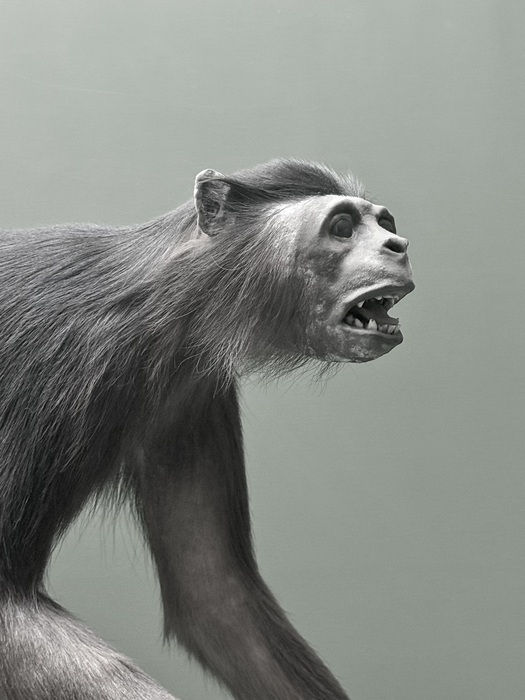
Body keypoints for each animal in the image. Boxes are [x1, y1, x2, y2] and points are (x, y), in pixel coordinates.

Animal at [0, 159, 414, 700]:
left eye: (383, 224)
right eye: (342, 227)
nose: (398, 244)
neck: (160, 302)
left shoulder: (192, 394)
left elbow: (217, 601)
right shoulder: (65, 360)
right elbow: (9, 604)